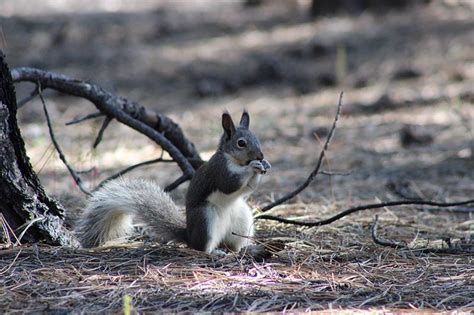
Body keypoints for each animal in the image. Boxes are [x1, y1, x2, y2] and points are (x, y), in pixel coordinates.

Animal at [77, 110, 270, 254]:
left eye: (257, 138)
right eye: (241, 143)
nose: (260, 156)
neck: (234, 160)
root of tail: (189, 235)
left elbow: (250, 187)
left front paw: (264, 165)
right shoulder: (219, 170)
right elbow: (230, 184)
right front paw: (252, 167)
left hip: (242, 219)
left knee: (233, 244)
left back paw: (245, 249)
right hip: (205, 218)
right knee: (201, 247)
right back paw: (214, 252)